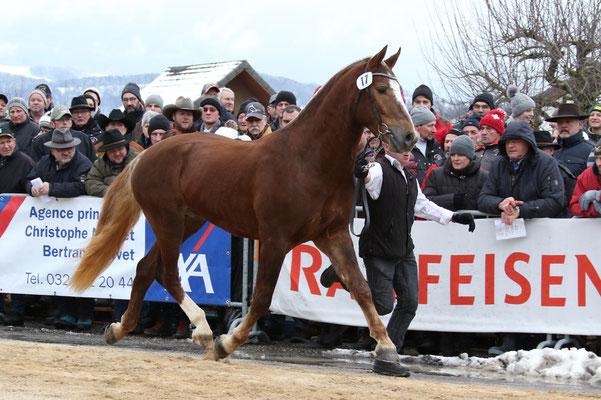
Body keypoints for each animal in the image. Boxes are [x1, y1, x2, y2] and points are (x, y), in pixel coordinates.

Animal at [70, 45, 418, 376]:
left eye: (400, 90)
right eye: (381, 90)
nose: (409, 137)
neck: (308, 160)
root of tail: (145, 155)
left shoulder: (332, 234)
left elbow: (361, 287)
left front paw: (388, 350)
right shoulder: (275, 239)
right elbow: (262, 298)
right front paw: (226, 343)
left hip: (188, 222)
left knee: (145, 268)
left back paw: (119, 329)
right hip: (166, 219)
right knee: (166, 273)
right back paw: (204, 332)